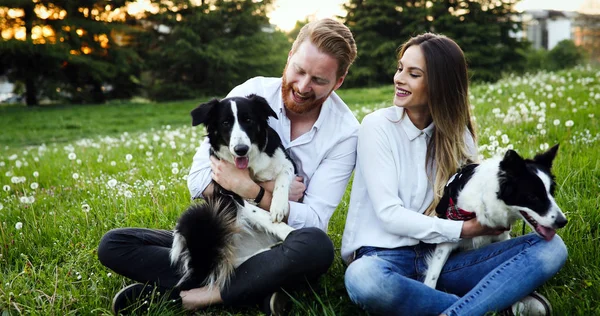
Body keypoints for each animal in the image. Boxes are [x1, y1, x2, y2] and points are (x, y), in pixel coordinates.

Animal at [170, 94, 296, 292]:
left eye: (248, 120)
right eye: (225, 123)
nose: (240, 149)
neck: (250, 163)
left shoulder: (287, 162)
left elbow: (282, 178)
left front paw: (278, 207)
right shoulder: (232, 190)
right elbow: (259, 213)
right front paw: (289, 232)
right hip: (198, 217)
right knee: (219, 269)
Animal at [422, 144, 568, 288]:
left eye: (552, 192)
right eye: (533, 197)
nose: (563, 222)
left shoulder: (502, 236)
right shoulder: (447, 239)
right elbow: (433, 276)